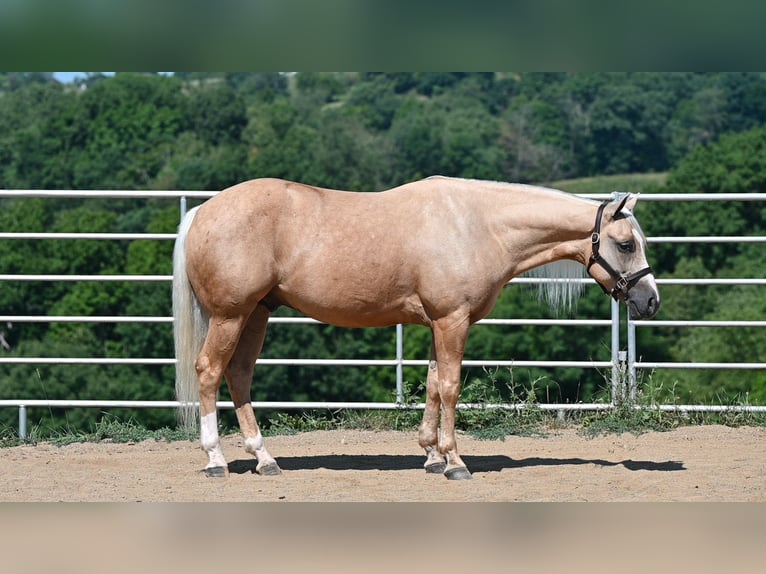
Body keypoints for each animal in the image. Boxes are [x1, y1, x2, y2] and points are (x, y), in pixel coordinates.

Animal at [172, 176, 660, 480]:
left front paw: (430, 455)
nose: (650, 301)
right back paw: (215, 459)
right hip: (232, 315)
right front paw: (456, 462)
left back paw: (265, 459)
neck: (477, 226)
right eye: (625, 244)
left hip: (257, 313)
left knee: (239, 375)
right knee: (210, 371)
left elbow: (432, 385)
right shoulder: (452, 321)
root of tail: (202, 212)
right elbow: (451, 388)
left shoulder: (438, 323)